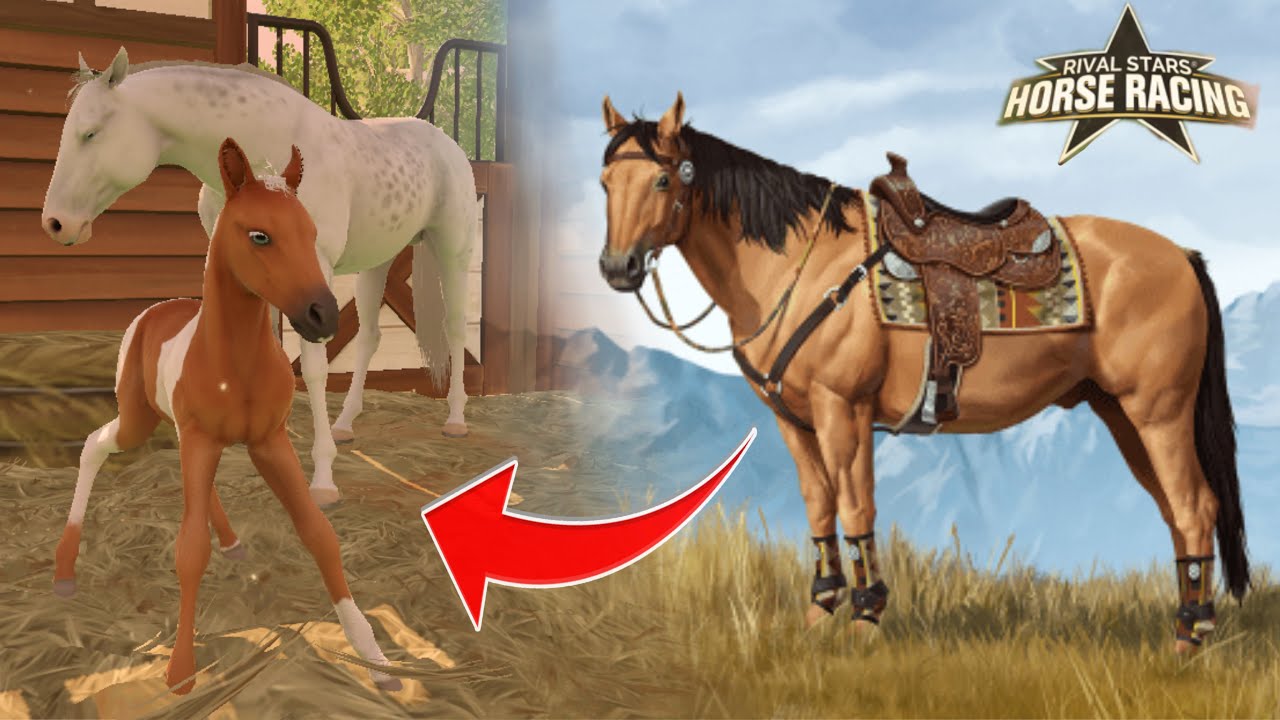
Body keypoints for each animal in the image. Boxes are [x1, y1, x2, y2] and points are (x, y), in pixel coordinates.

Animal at [41, 47, 478, 508]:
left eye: (90, 134)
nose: (55, 223)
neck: (265, 152)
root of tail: (444, 141)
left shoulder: (314, 273)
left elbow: (314, 368)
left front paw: (323, 480)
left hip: (453, 250)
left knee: (454, 329)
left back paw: (455, 420)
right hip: (377, 261)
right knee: (371, 337)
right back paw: (345, 424)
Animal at [53, 138, 402, 695]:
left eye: (311, 233)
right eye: (260, 235)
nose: (323, 314)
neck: (235, 364)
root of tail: (154, 310)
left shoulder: (270, 442)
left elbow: (318, 533)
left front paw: (374, 656)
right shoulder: (202, 440)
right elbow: (190, 549)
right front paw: (180, 671)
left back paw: (233, 541)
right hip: (137, 420)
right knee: (95, 445)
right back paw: (64, 570)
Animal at [596, 93, 1248, 653]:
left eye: (662, 179)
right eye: (605, 183)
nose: (617, 267)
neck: (804, 266)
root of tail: (1181, 255)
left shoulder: (843, 409)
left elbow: (856, 507)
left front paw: (865, 616)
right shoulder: (795, 421)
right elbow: (819, 506)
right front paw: (819, 610)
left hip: (1158, 411)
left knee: (1195, 506)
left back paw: (1191, 635)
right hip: (1122, 414)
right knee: (1178, 511)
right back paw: (1190, 620)